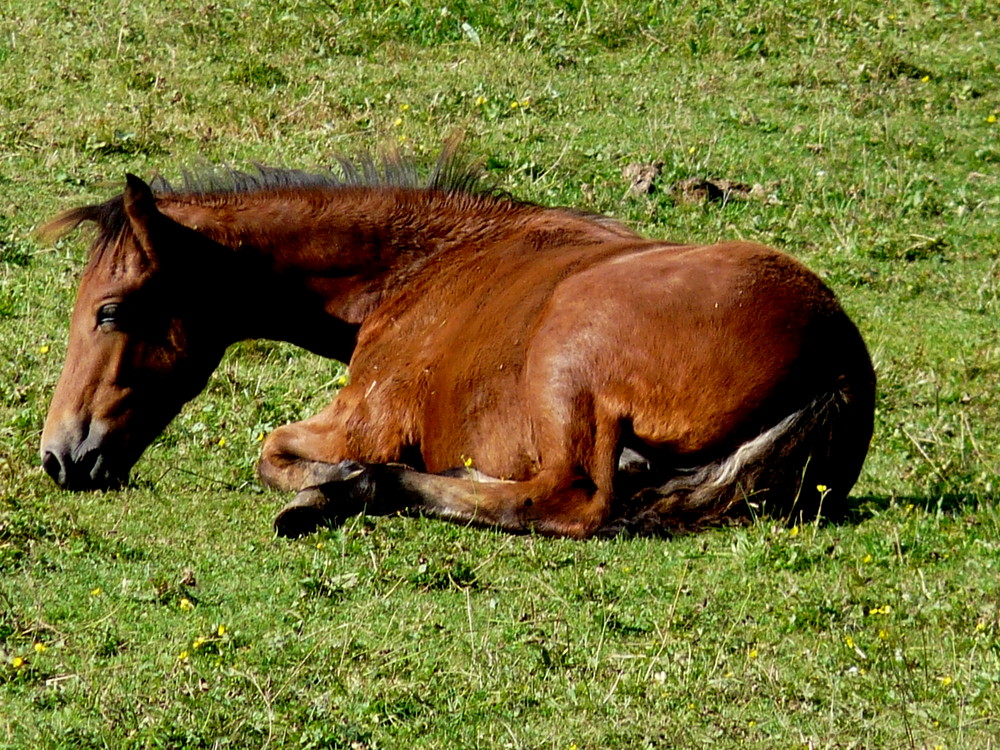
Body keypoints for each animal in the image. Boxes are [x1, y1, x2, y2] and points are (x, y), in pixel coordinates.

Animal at [39, 151, 872, 540]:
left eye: (110, 313)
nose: (58, 457)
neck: (415, 268)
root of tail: (835, 357)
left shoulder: (363, 418)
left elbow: (271, 451)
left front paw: (333, 480)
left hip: (566, 368)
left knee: (567, 502)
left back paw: (356, 491)